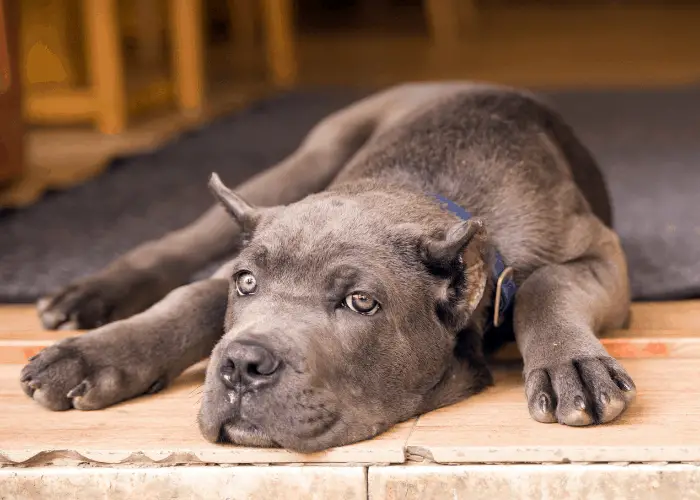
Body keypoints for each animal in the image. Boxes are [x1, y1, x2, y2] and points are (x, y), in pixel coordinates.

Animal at [20, 83, 636, 454]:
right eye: (247, 282)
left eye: (361, 302)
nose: (242, 364)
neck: (413, 192)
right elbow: (192, 298)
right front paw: (92, 355)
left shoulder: (601, 254)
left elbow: (545, 285)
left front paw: (572, 365)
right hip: (303, 163)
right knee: (174, 246)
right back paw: (85, 297)